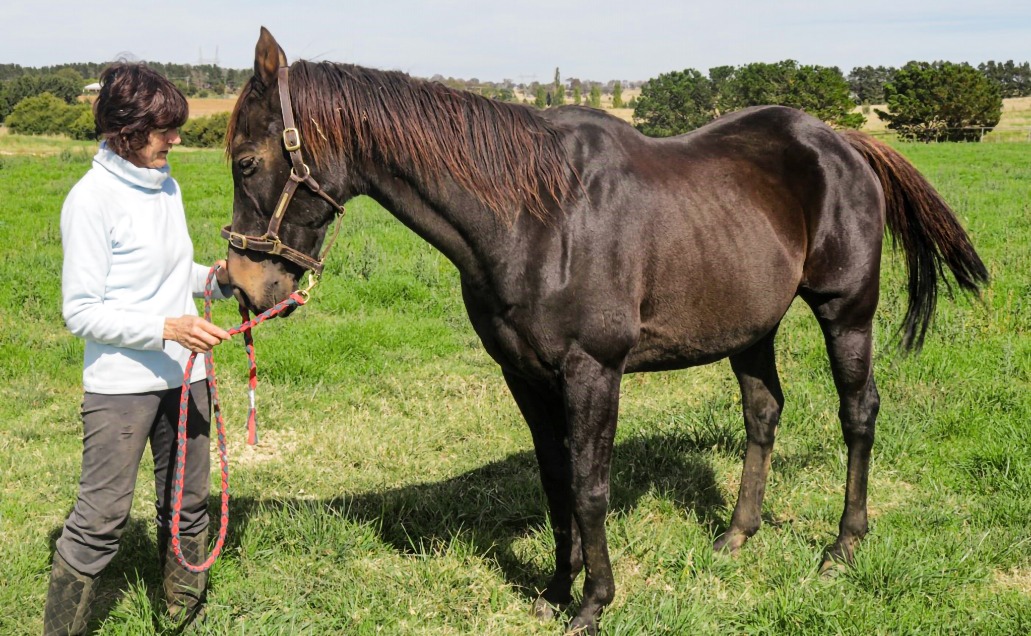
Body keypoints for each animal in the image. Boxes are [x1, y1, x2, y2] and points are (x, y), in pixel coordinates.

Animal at [221, 27, 985, 630]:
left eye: (247, 161)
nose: (242, 284)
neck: (536, 218)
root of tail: (842, 141)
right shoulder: (525, 376)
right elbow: (556, 480)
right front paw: (556, 588)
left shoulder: (593, 370)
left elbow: (591, 485)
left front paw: (594, 602)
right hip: (750, 331)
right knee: (763, 413)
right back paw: (736, 536)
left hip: (845, 312)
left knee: (858, 415)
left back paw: (842, 547)